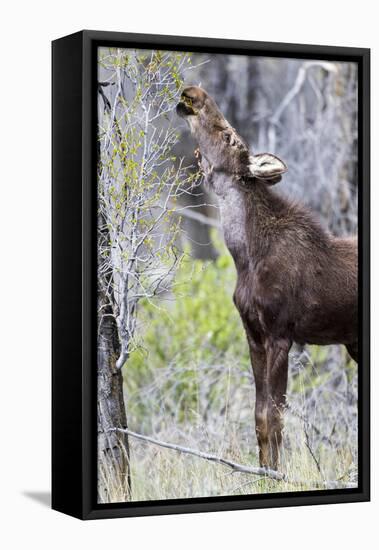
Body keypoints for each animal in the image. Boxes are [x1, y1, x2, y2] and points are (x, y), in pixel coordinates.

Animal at [177, 86, 358, 470]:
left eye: (230, 138)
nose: (194, 93)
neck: (245, 257)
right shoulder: (254, 334)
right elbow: (259, 416)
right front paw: (262, 471)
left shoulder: (280, 334)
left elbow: (273, 417)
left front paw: (275, 473)